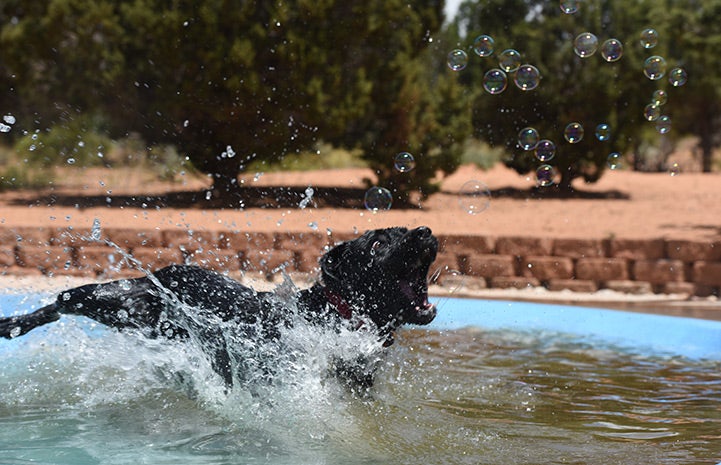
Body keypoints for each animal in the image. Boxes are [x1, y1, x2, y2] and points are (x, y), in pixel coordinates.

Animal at [0, 225, 438, 388]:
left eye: (404, 230)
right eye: (378, 244)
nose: (425, 231)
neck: (338, 315)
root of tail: (164, 269)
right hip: (116, 300)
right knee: (62, 299)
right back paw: (14, 323)